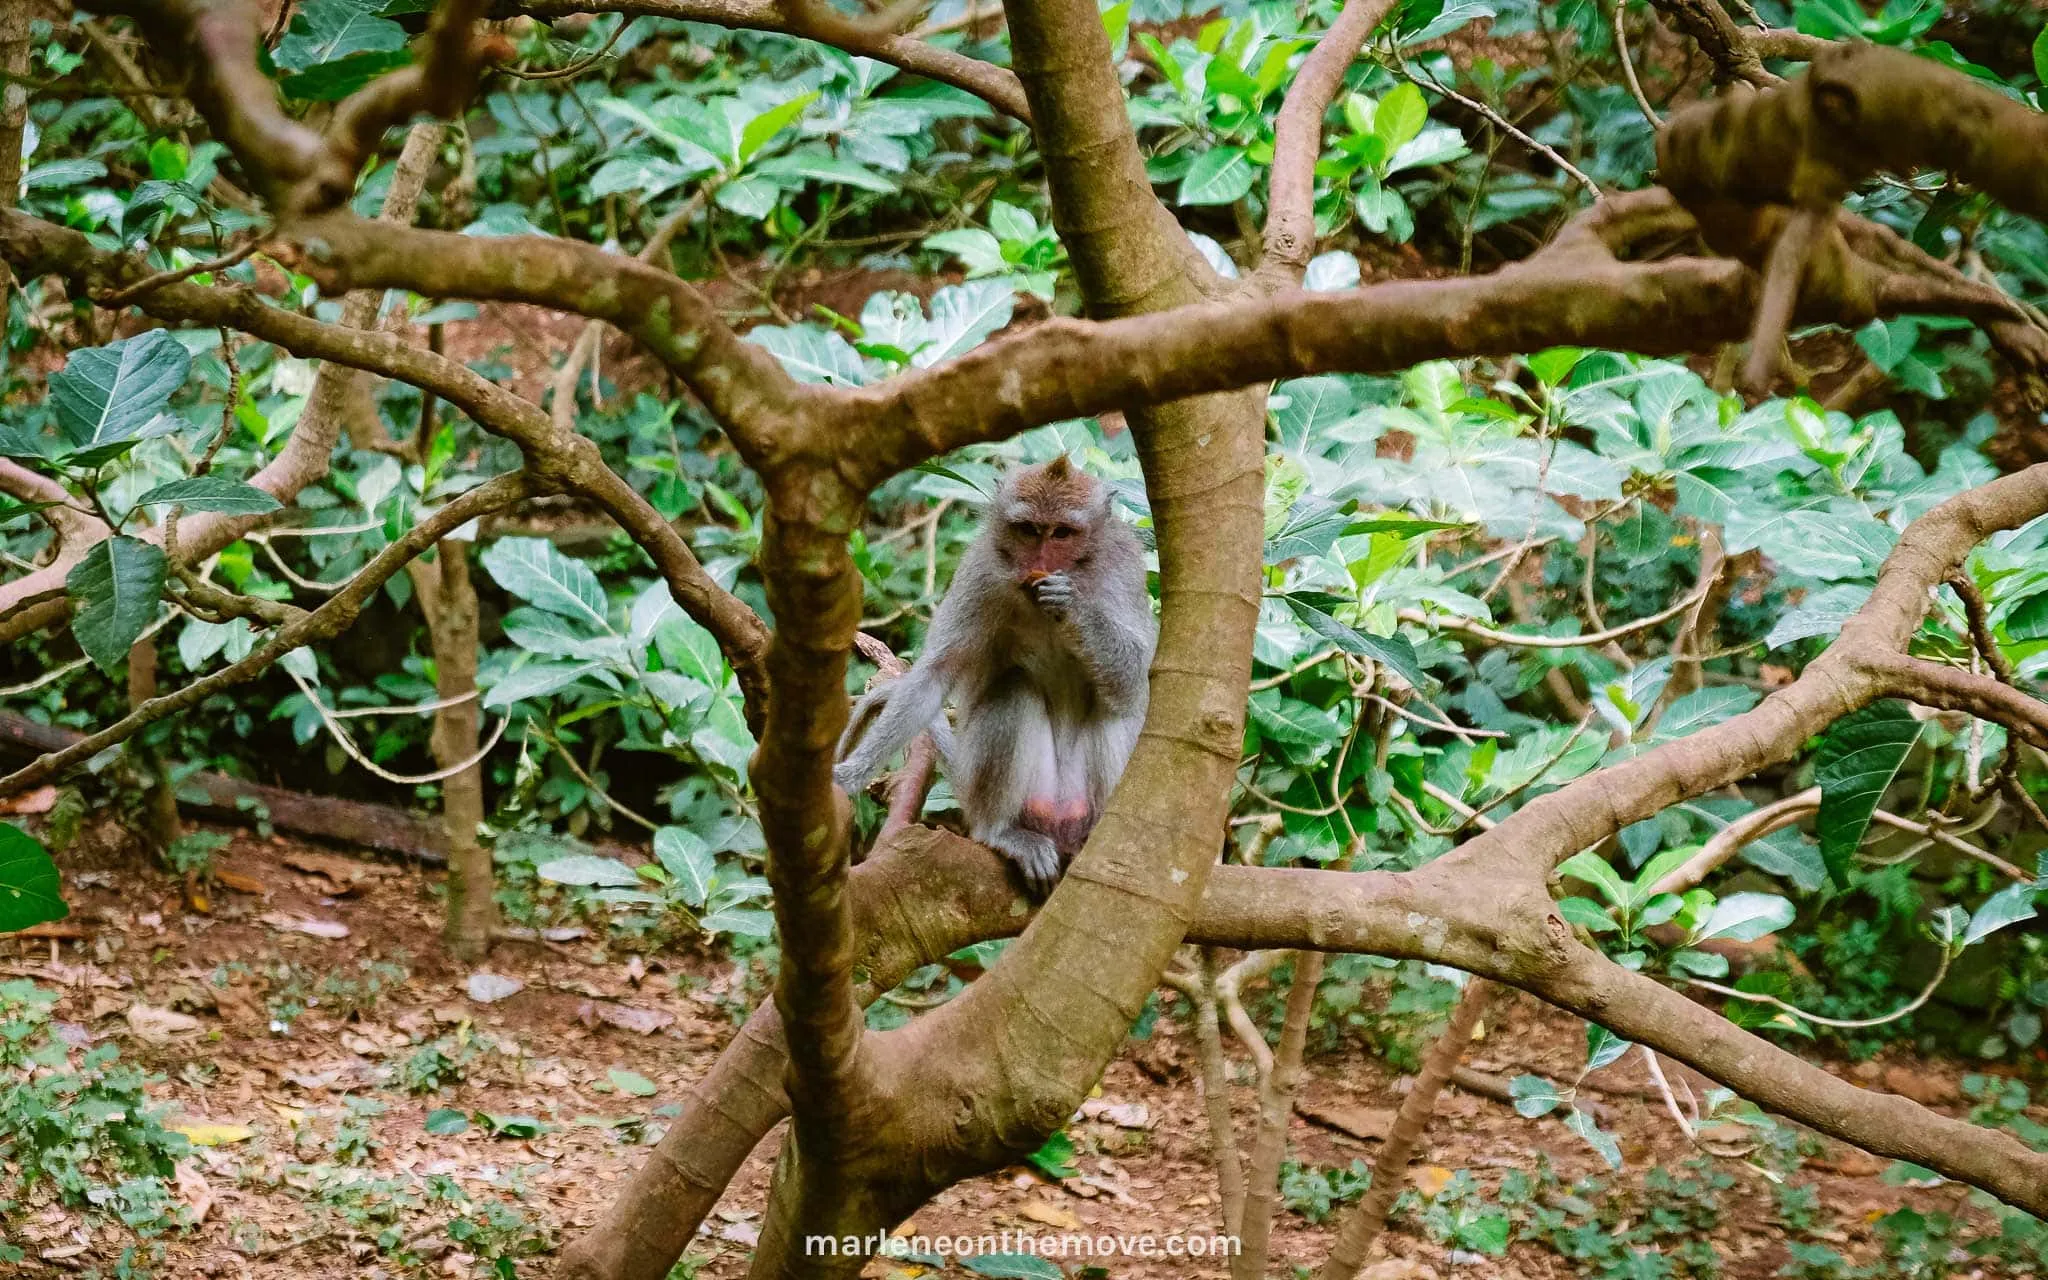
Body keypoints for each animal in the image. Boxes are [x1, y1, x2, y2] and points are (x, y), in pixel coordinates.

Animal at [835, 457, 1155, 895]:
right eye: (1029, 530)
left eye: (1062, 533)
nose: (1040, 562)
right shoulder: (981, 570)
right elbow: (934, 675)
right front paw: (854, 773)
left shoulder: (1123, 568)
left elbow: (1135, 679)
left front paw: (1072, 606)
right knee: (1013, 689)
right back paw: (999, 832)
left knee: (1113, 708)